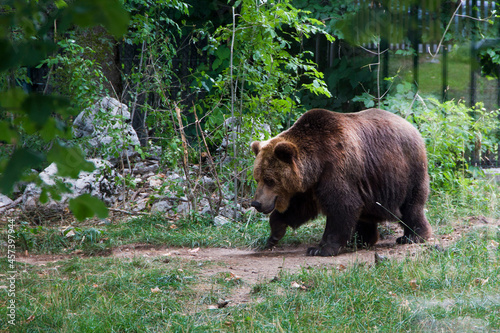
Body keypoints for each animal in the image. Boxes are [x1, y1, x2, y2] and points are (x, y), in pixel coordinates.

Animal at [252, 107, 432, 255]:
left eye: (270, 180)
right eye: (257, 178)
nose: (256, 203)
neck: (316, 164)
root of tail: (412, 127)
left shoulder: (337, 167)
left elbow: (342, 205)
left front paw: (320, 248)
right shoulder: (310, 186)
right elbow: (299, 208)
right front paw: (274, 235)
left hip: (407, 170)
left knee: (411, 206)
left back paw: (413, 236)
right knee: (367, 212)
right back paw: (359, 240)